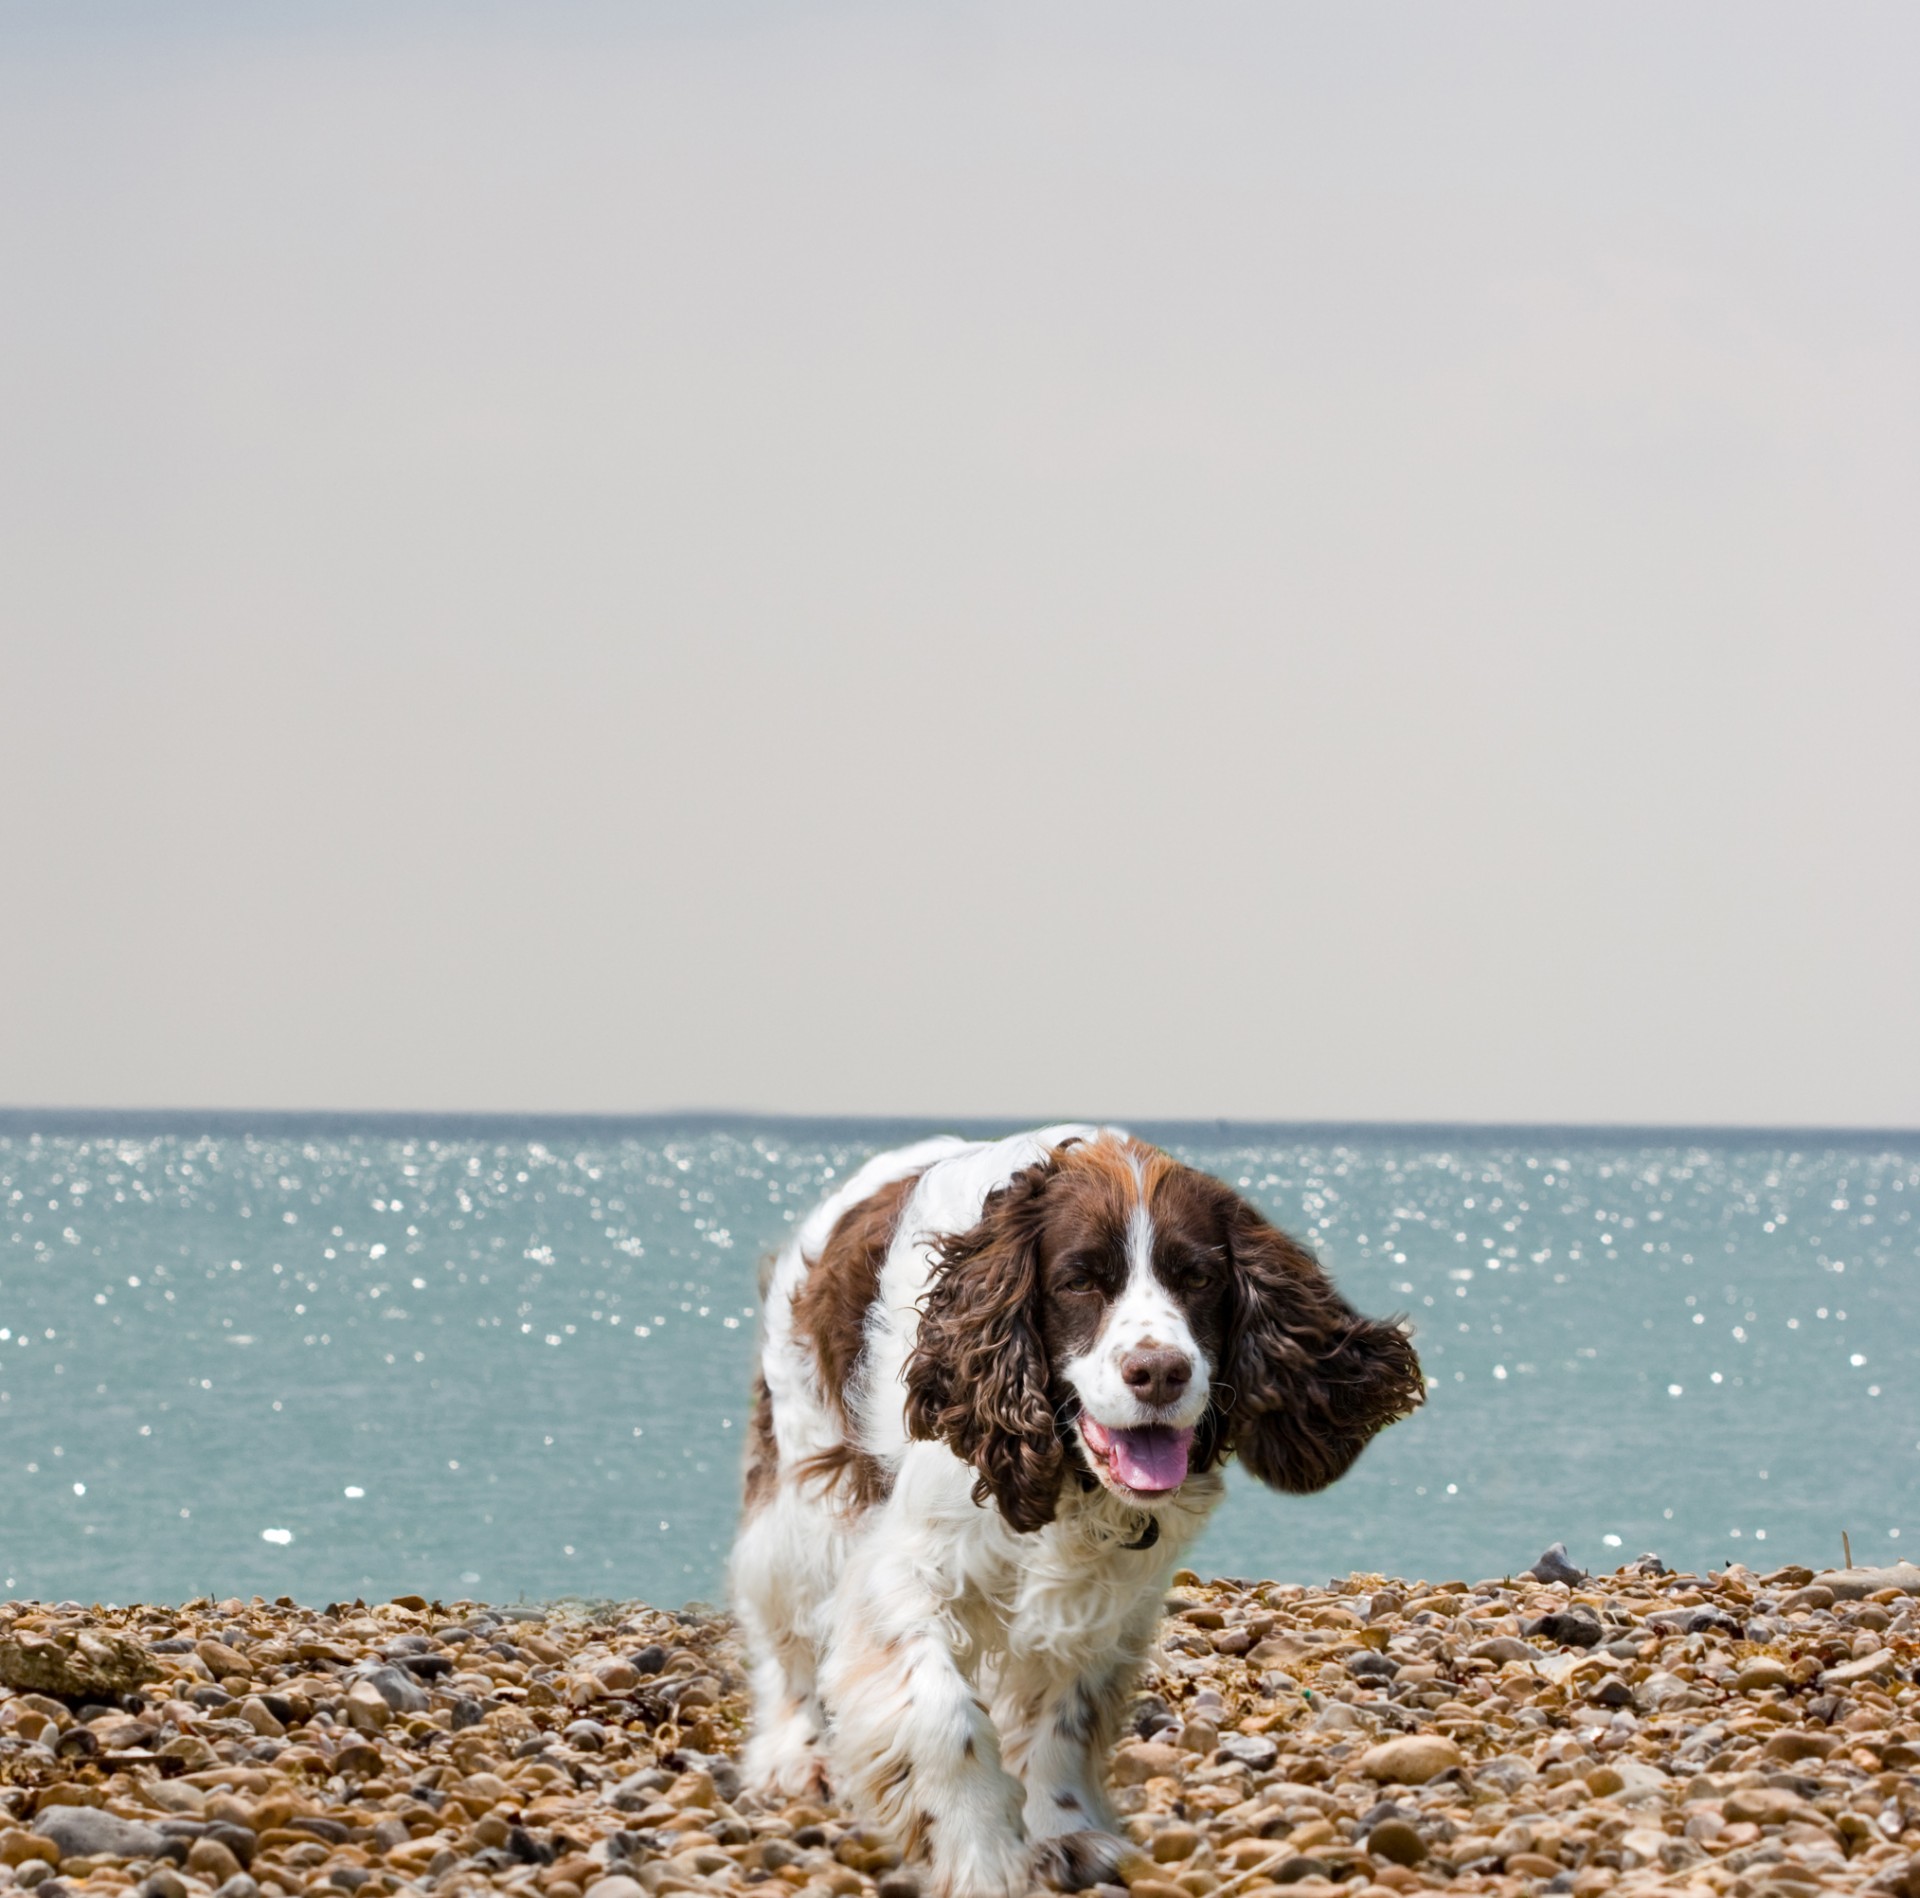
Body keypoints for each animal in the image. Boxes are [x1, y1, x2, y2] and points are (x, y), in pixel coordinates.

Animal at [733, 1128, 1428, 1896]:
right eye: (1079, 1281)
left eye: (1198, 1279)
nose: (1159, 1373)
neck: (1069, 1475)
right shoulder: (906, 1571)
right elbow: (945, 1717)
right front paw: (985, 1857)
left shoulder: (1104, 1598)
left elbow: (1061, 1720)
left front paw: (1062, 1831)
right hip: (807, 1494)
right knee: (788, 1636)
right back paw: (795, 1756)